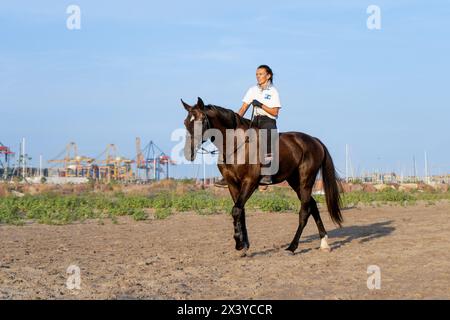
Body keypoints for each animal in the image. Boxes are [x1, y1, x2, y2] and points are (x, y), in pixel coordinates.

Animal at [181, 97, 342, 255]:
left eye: (202, 120)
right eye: (186, 122)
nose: (188, 152)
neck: (236, 145)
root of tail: (314, 140)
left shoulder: (250, 182)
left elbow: (236, 210)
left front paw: (239, 243)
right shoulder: (232, 184)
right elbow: (240, 211)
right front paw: (244, 245)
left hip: (306, 181)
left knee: (304, 211)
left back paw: (292, 247)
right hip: (295, 182)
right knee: (313, 205)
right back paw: (324, 243)